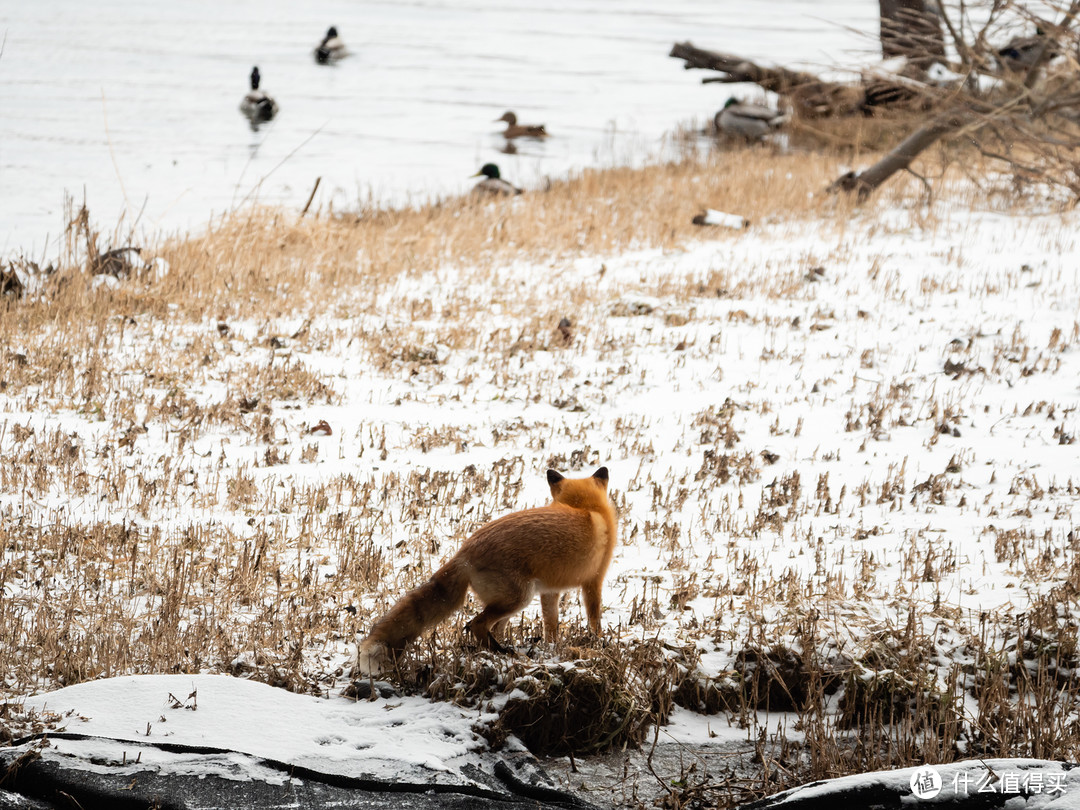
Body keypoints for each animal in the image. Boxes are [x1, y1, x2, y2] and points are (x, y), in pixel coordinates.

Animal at [356, 466, 617, 673]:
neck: (586, 507)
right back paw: (500, 652)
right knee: (477, 624)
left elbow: (550, 624)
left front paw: (553, 648)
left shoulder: (549, 591)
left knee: (491, 627)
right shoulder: (594, 581)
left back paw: (501, 650)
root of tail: (464, 552)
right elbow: (594, 617)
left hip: (515, 599)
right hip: (519, 598)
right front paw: (599, 642)